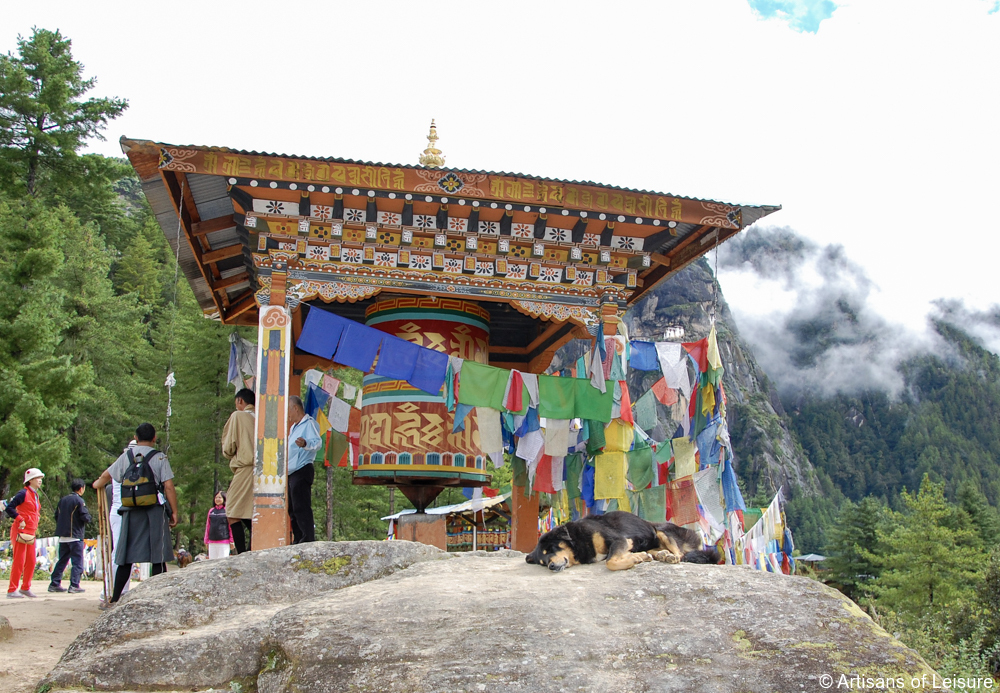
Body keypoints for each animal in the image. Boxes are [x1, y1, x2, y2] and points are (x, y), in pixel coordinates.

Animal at [524, 510, 720, 572]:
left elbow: (611, 561)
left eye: (551, 549)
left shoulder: (619, 540)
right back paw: (661, 554)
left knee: (681, 553)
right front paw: (638, 556)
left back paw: (670, 556)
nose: (550, 566)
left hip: (662, 530)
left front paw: (634, 558)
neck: (578, 540)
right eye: (543, 562)